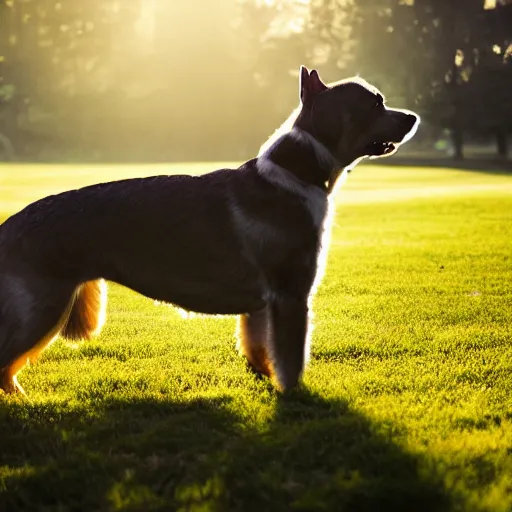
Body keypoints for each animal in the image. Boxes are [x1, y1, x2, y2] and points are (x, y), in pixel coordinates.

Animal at [0, 66, 418, 394]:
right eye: (376, 103)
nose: (413, 118)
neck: (298, 172)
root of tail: (10, 224)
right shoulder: (291, 295)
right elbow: (291, 359)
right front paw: (296, 397)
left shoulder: (261, 306)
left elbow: (259, 350)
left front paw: (265, 380)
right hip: (41, 308)